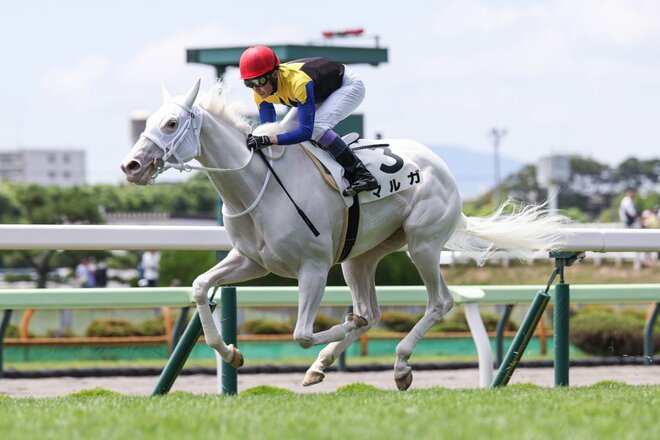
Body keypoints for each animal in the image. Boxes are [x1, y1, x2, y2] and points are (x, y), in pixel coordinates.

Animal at [121, 79, 568, 390]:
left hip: (422, 244)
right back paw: (324, 364)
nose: (131, 165)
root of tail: (442, 169)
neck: (257, 185)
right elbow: (200, 287)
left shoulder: (314, 267)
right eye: (148, 123)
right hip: (360, 257)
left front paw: (336, 332)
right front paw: (231, 353)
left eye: (171, 123)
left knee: (438, 302)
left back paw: (400, 365)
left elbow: (302, 334)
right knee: (373, 311)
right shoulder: (251, 261)